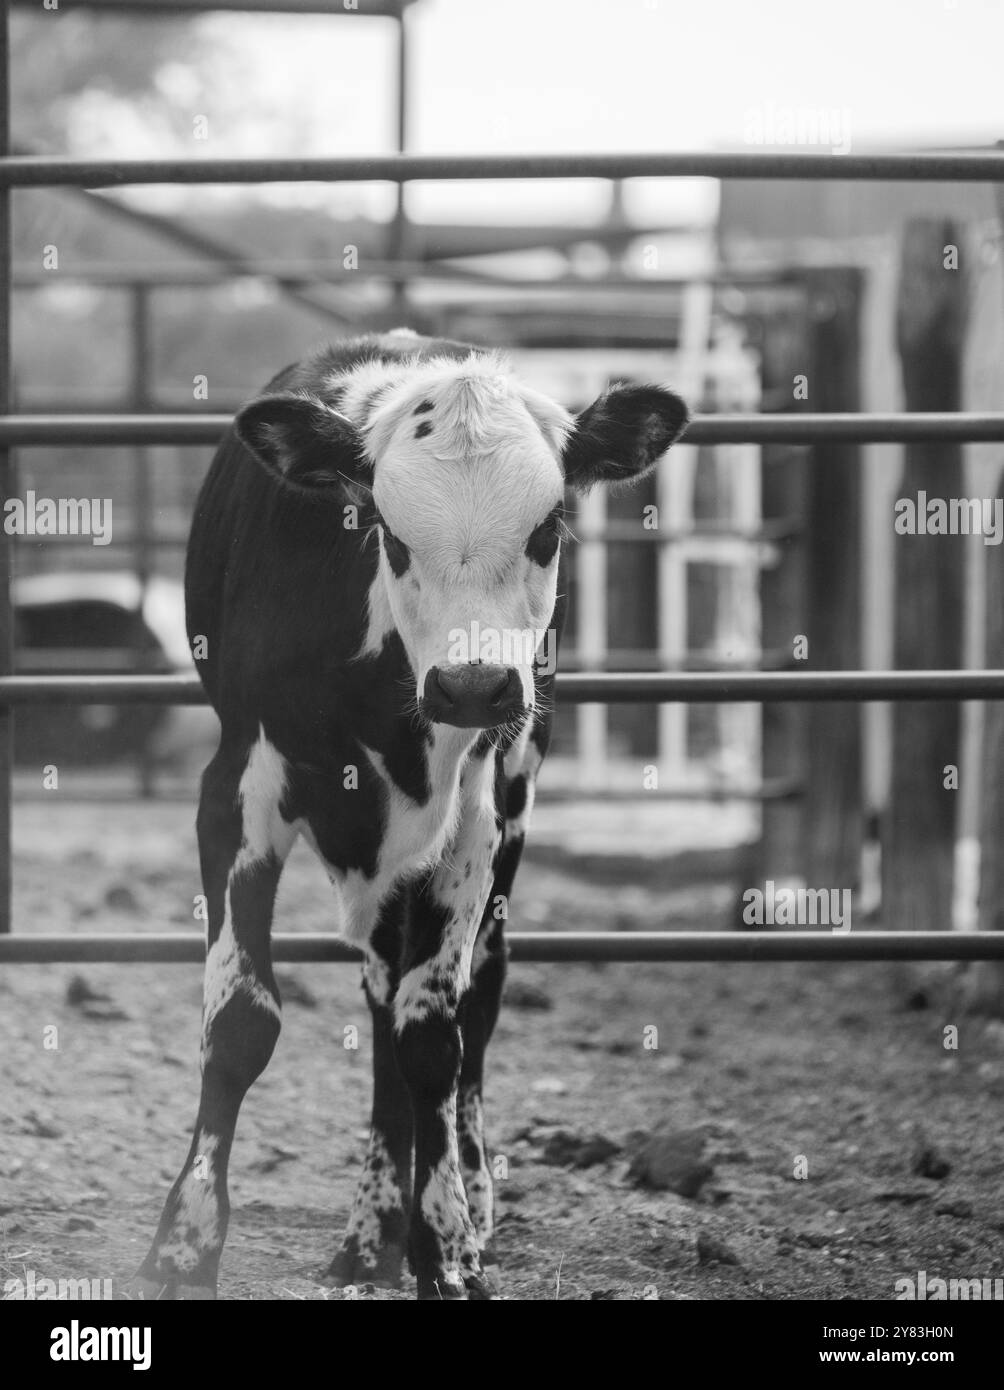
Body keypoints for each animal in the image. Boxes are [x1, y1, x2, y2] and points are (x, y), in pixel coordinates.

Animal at [126, 330, 688, 1300]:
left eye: (548, 528)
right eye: (388, 531)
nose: (470, 686)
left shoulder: (476, 816)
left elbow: (435, 1038)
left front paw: (450, 1248)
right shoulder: (235, 787)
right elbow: (240, 1023)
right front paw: (184, 1246)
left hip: (510, 800)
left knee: (470, 1000)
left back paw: (447, 1207)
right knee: (383, 995)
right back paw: (370, 1237)